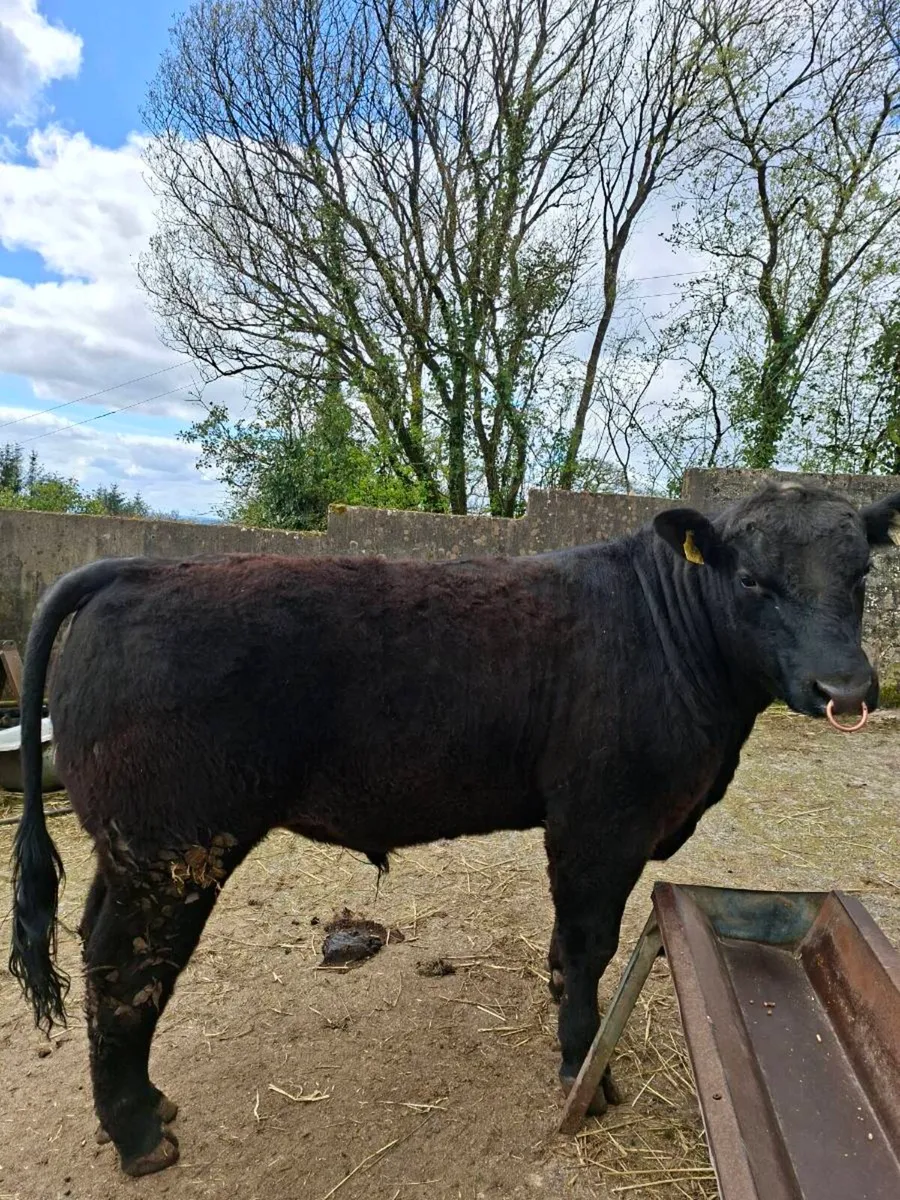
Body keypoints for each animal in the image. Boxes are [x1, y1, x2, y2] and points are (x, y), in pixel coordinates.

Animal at [8, 482, 900, 1177]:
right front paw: (584, 1071)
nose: (847, 688)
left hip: (133, 848)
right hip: (175, 847)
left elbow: (569, 945)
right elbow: (587, 945)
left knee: (102, 948)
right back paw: (140, 1135)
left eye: (862, 572)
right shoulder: (602, 819)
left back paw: (148, 1106)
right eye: (751, 578)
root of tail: (137, 568)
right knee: (125, 966)